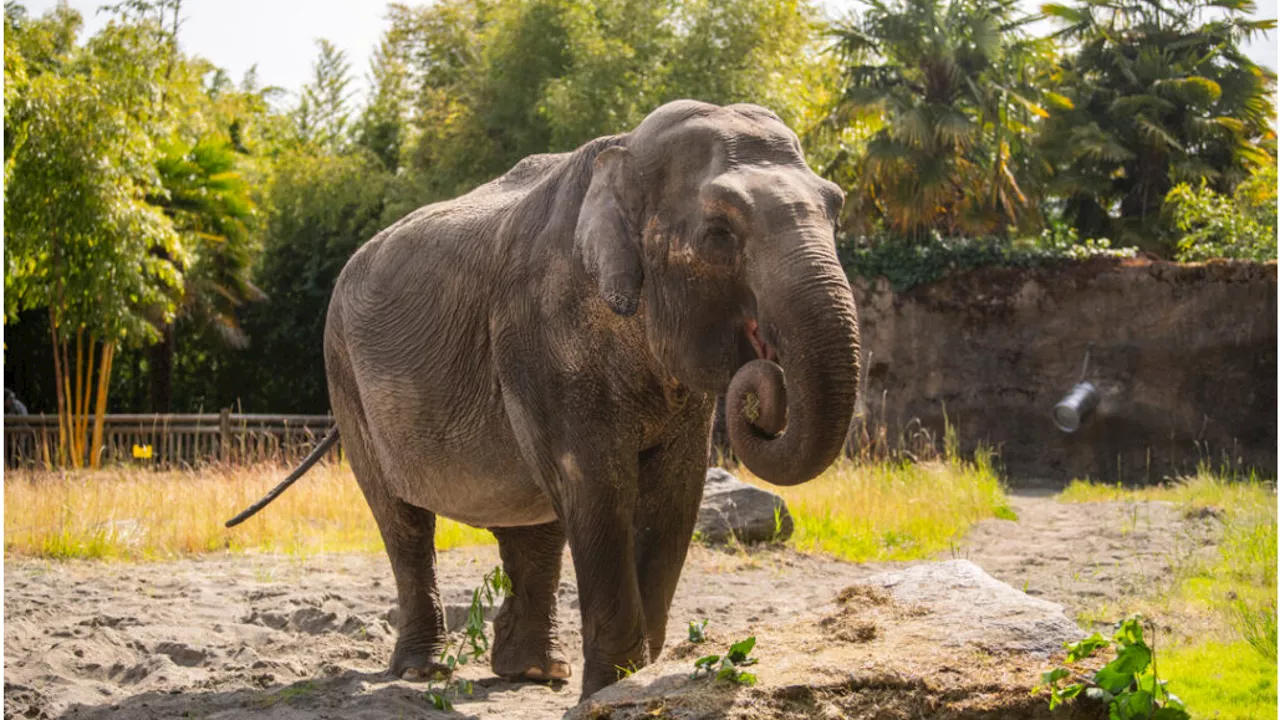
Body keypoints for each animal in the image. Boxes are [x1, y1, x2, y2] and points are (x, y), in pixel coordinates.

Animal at [229, 98, 860, 696]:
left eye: (836, 208)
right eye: (721, 232)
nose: (763, 381)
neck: (626, 150)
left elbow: (675, 496)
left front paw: (637, 681)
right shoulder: (539, 336)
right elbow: (598, 487)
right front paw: (614, 687)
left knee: (534, 522)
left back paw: (532, 673)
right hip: (345, 377)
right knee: (404, 522)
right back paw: (422, 670)